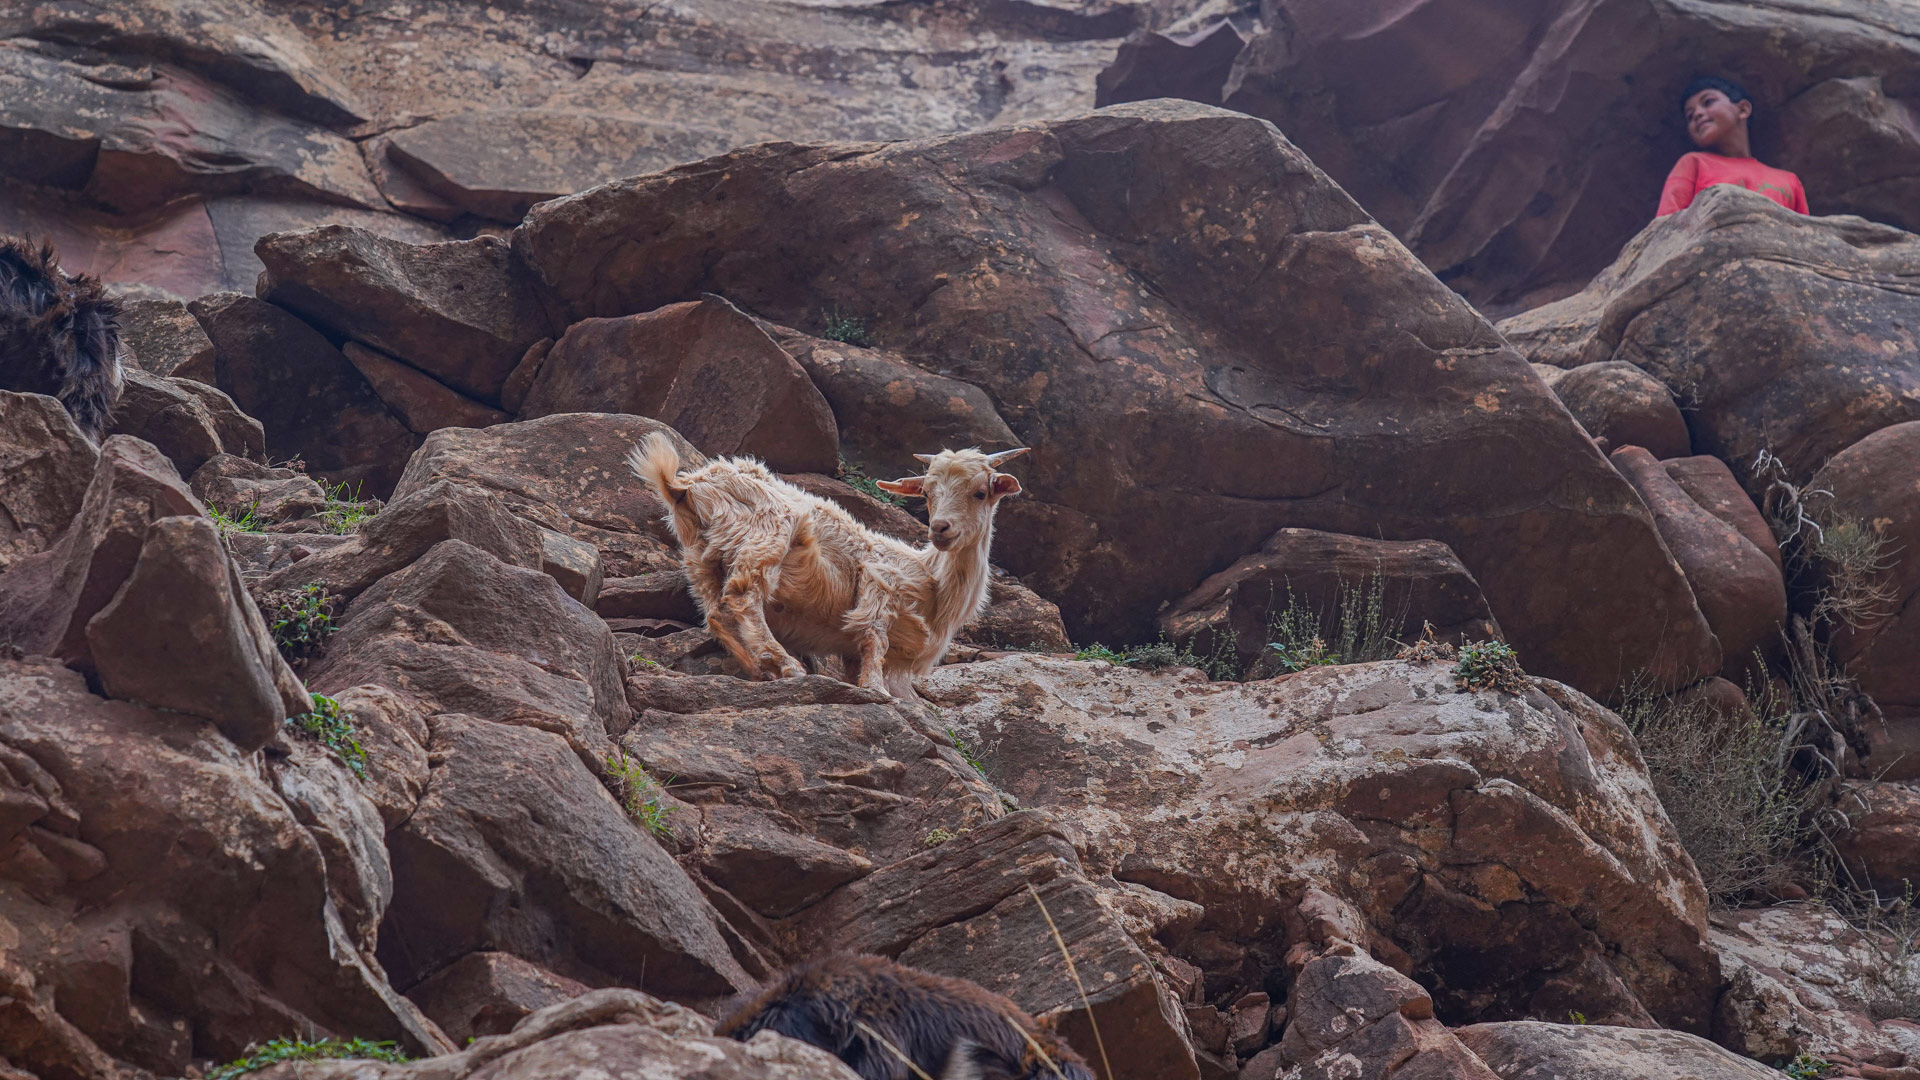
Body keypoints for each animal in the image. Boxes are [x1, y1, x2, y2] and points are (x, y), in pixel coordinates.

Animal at [627, 434, 1026, 700]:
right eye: (927, 494)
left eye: (980, 492)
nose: (940, 528)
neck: (933, 579)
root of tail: (685, 487)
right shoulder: (880, 584)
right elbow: (875, 638)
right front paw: (877, 690)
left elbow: (859, 658)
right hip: (766, 532)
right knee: (743, 597)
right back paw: (786, 664)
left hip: (701, 557)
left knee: (715, 613)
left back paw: (759, 668)